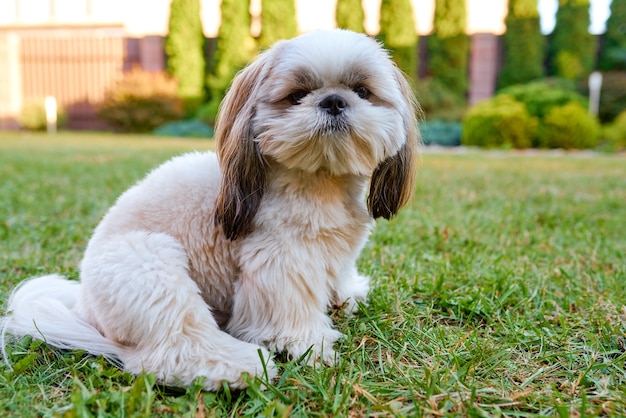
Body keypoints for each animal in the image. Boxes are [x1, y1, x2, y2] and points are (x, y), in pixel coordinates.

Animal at [2, 30, 420, 392]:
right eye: (297, 94)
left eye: (362, 91)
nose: (333, 100)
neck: (321, 182)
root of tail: (83, 305)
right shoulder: (279, 260)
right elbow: (290, 309)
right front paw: (307, 344)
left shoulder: (336, 250)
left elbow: (337, 276)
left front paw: (344, 297)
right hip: (150, 266)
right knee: (173, 348)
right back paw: (237, 368)